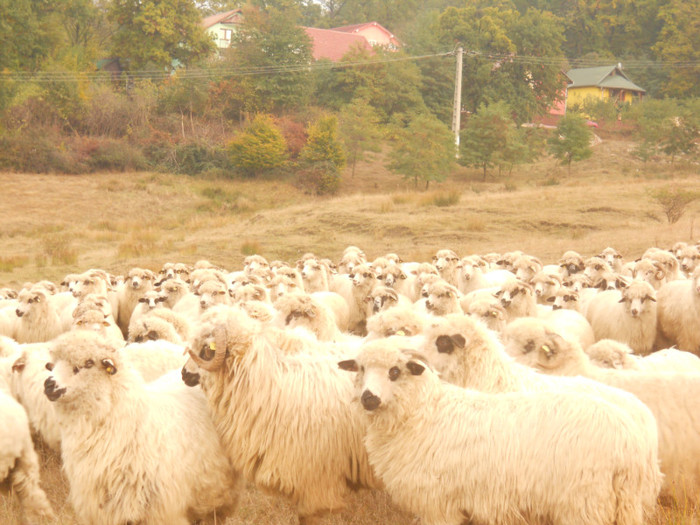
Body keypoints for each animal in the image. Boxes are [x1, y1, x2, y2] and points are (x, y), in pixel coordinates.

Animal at [340, 340, 660, 524]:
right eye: (361, 368)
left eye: (395, 371)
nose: (369, 398)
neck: (422, 413)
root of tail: (630, 442)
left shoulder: (438, 506)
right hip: (621, 505)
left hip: (584, 504)